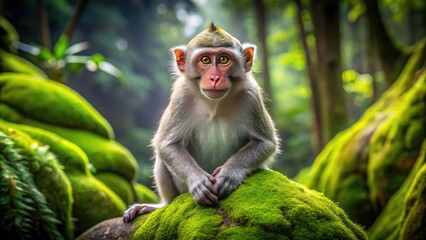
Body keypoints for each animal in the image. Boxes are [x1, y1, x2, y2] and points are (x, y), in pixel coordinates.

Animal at [122, 22, 280, 223]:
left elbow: (265, 143)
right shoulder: (181, 96)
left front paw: (228, 174)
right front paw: (198, 181)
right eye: (205, 60)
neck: (214, 105)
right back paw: (162, 205)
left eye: (223, 59)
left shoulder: (251, 97)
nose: (215, 78)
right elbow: (166, 144)